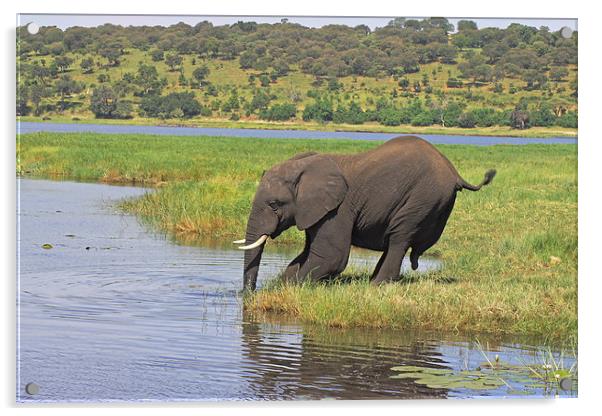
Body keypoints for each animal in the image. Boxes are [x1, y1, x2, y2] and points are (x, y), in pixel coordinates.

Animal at [234, 135, 492, 290]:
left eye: (274, 205)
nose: (248, 295)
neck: (304, 168)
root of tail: (454, 171)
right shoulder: (315, 211)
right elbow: (308, 253)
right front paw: (282, 284)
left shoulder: (339, 209)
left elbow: (331, 256)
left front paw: (288, 288)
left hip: (423, 198)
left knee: (399, 237)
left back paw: (377, 285)